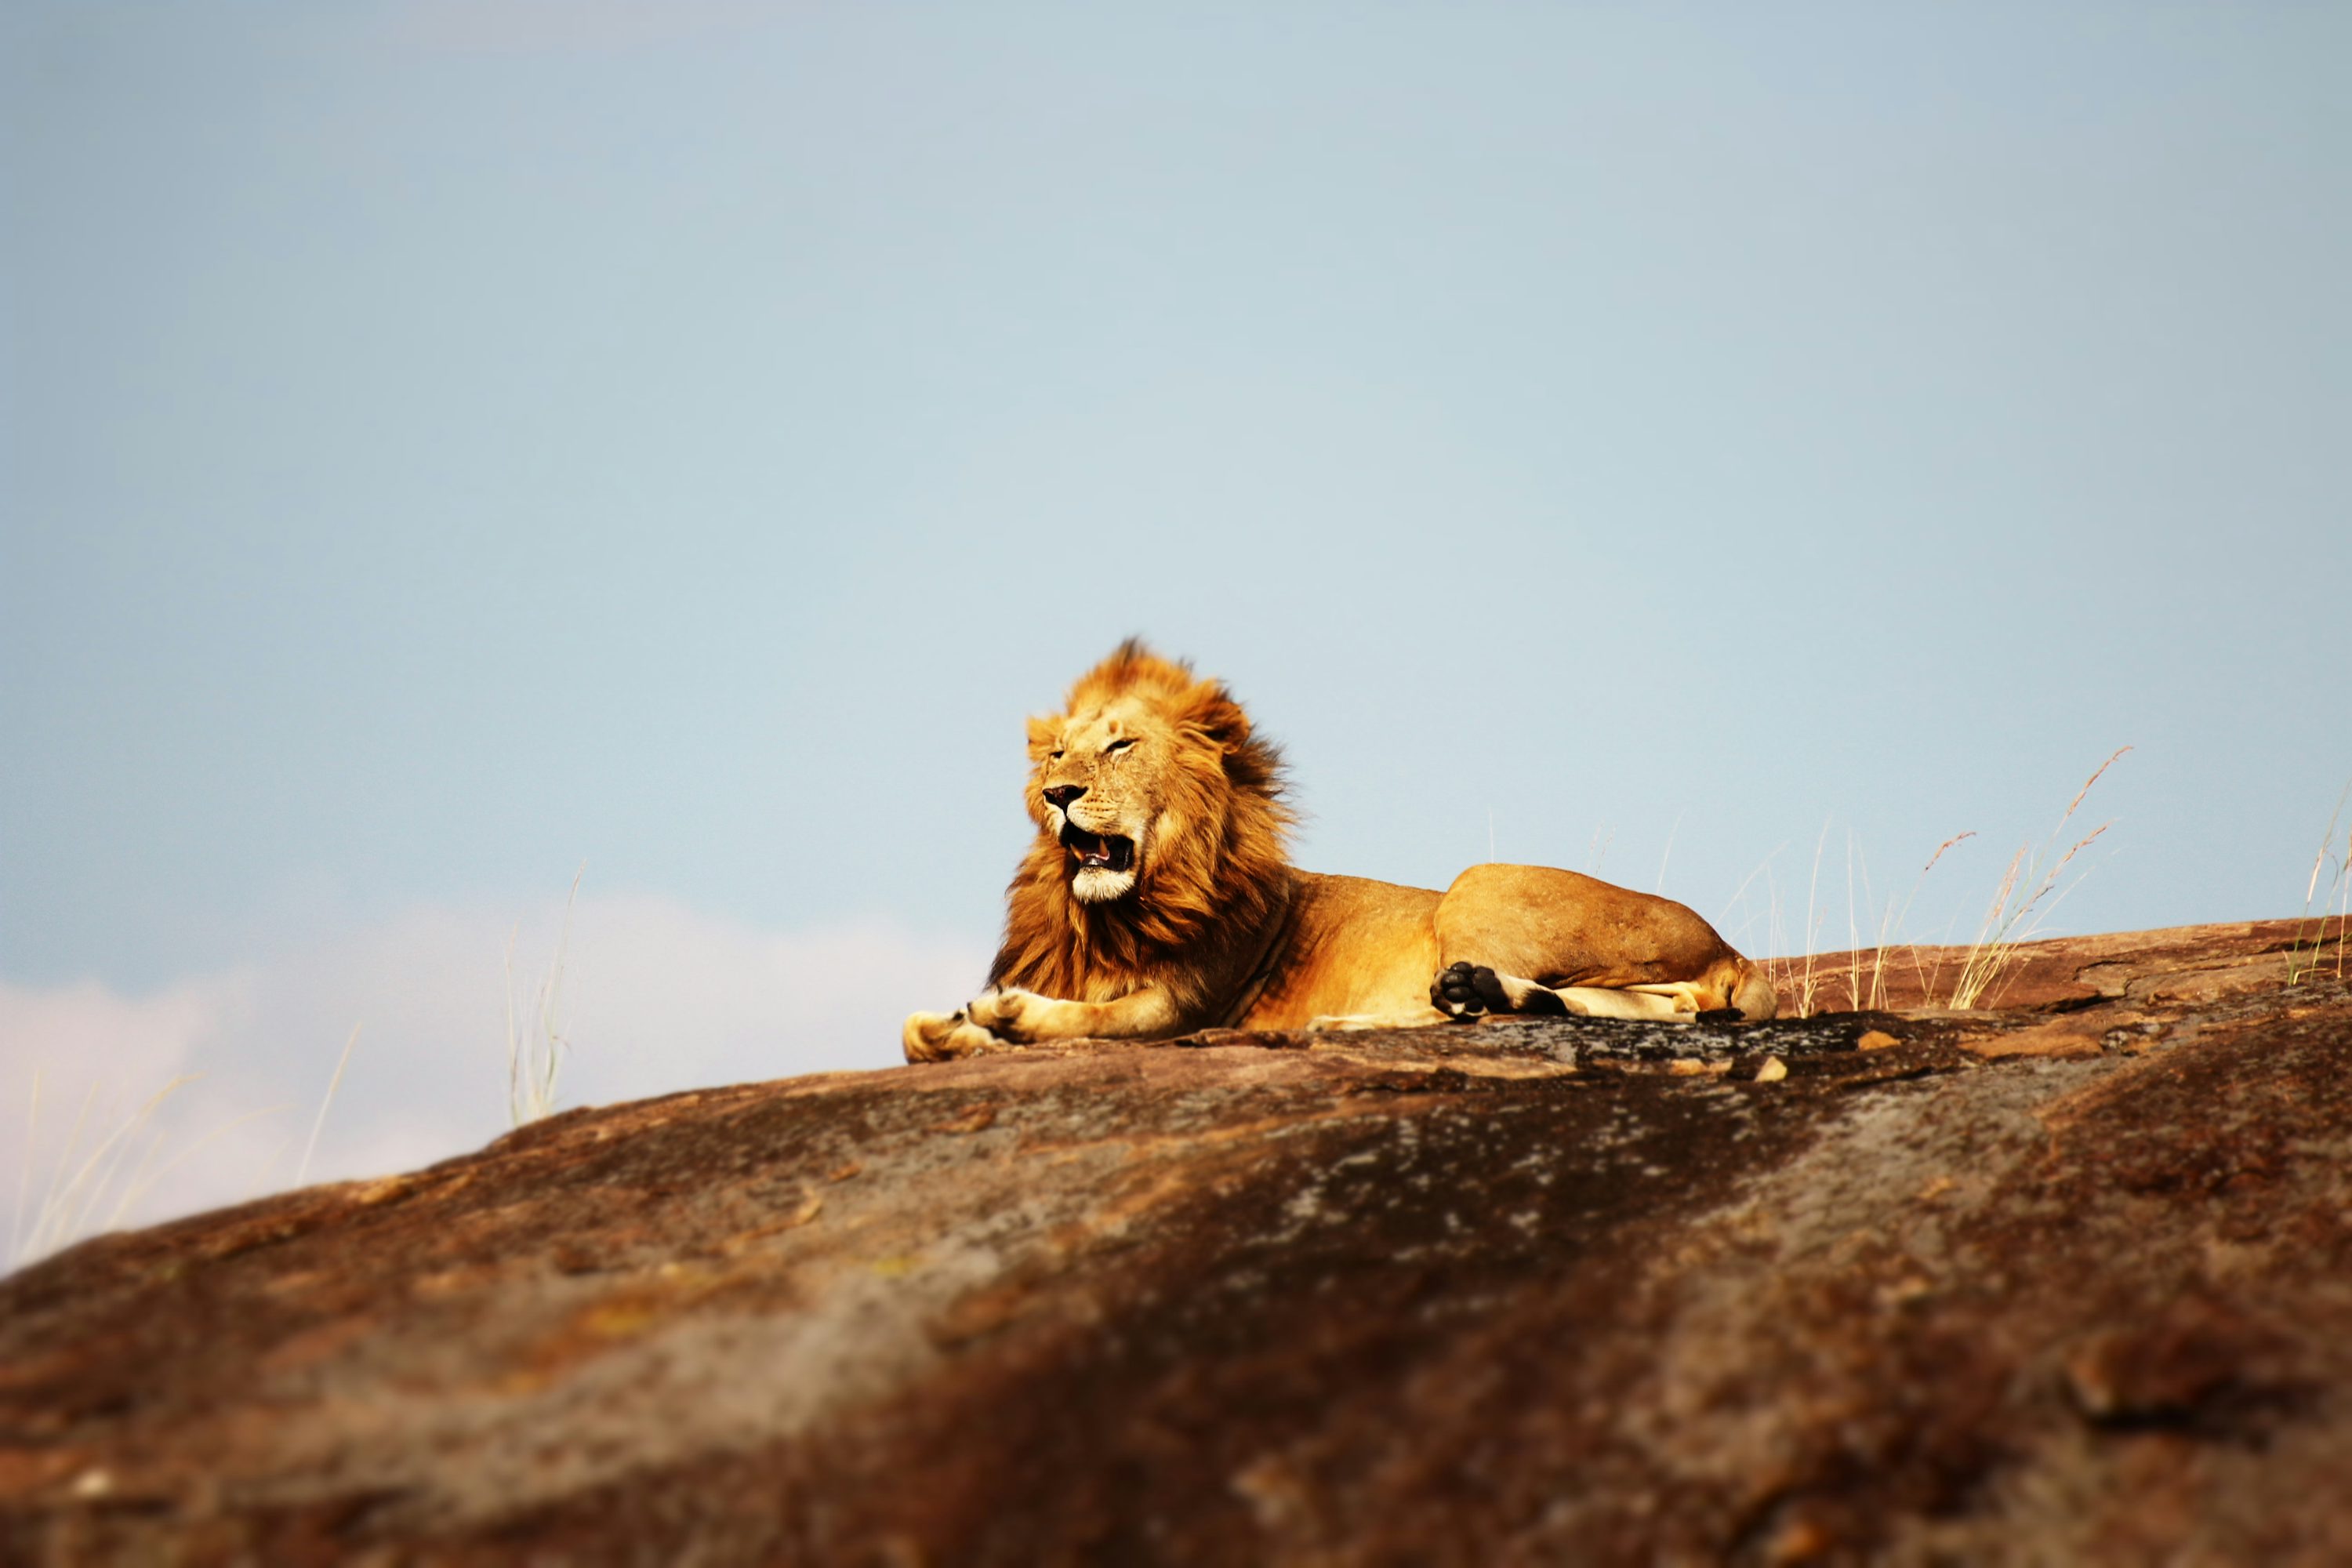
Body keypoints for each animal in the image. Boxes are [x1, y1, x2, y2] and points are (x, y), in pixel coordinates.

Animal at [903, 641, 1776, 1061]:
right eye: (1056, 755)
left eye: (1119, 746)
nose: (1058, 794)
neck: (1109, 916)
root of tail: (1734, 950)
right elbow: (914, 1031)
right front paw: (957, 1028)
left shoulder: (1182, 1007)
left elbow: (1089, 1018)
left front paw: (1007, 1013)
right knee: (1648, 1006)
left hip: (1478, 882)